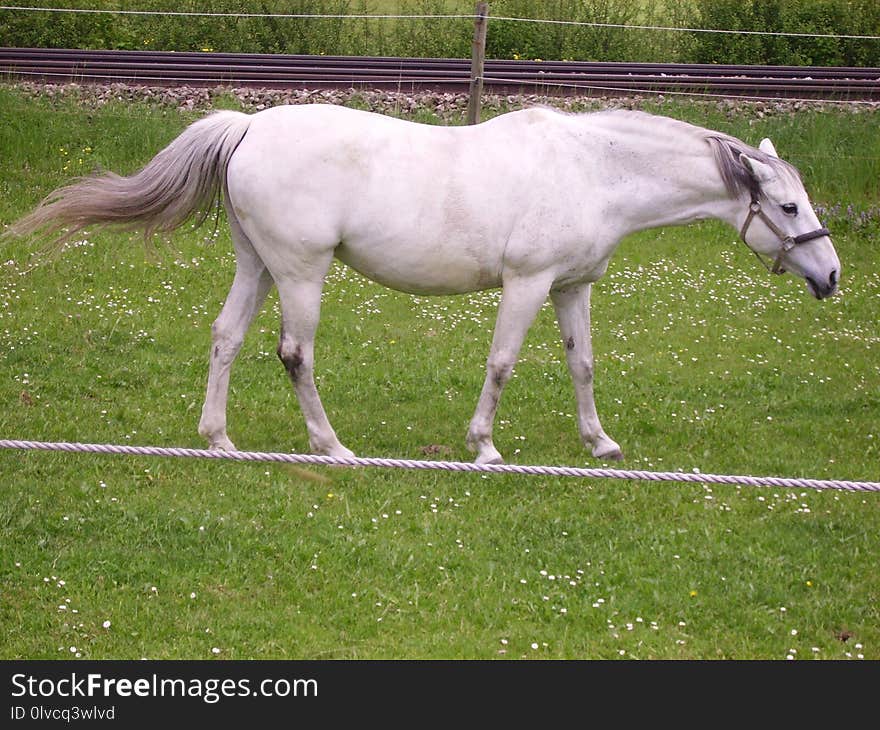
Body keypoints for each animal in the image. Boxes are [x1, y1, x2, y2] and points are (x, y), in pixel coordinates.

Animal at [12, 104, 840, 460]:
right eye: (788, 206)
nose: (831, 275)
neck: (591, 168)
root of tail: (248, 125)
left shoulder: (572, 288)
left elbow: (582, 365)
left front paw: (599, 442)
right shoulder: (528, 284)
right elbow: (502, 364)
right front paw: (484, 447)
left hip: (259, 265)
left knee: (226, 339)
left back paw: (219, 441)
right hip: (301, 272)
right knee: (294, 355)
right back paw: (332, 447)